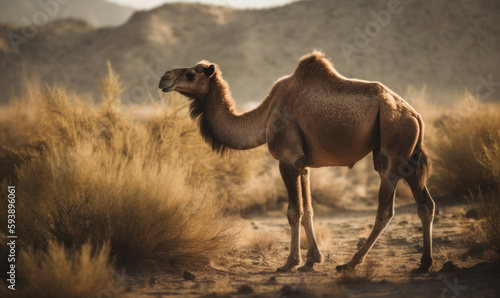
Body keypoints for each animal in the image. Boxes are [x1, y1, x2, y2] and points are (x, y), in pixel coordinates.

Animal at [159, 51, 434, 272]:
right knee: (425, 205)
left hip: (394, 146)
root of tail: (415, 114)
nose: (164, 78)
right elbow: (308, 210)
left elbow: (294, 211)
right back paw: (424, 264)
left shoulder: (288, 159)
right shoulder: (303, 164)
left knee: (385, 210)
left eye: (191, 74)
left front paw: (290, 263)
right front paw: (312, 259)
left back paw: (350, 263)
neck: (265, 115)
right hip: (408, 157)